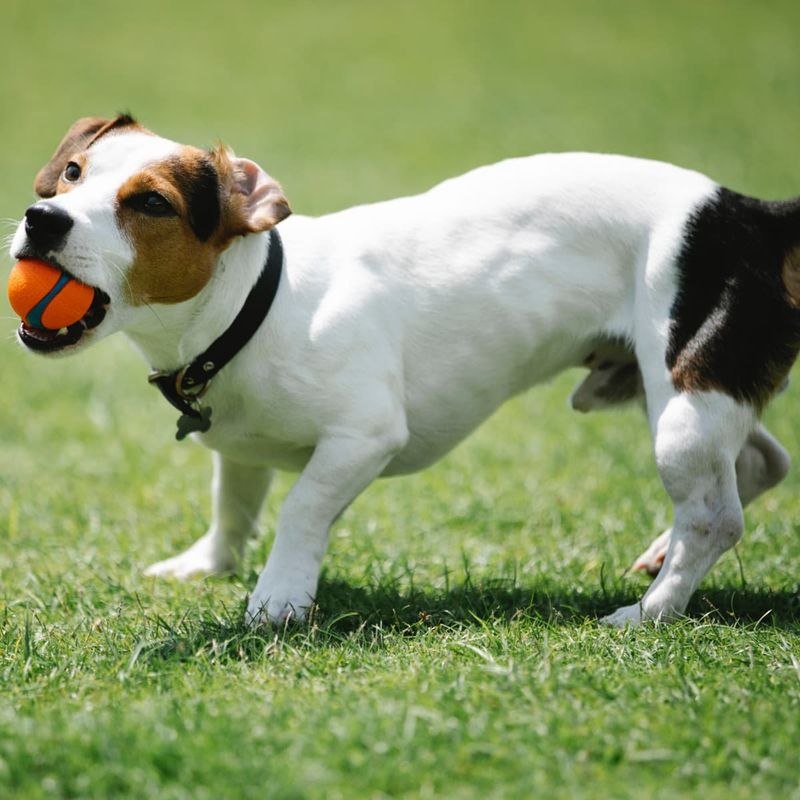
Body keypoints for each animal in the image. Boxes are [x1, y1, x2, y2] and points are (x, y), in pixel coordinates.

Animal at [7, 114, 800, 624]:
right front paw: (207, 565)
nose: (41, 219)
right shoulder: (240, 447)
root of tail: (748, 213)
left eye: (150, 202)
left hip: (683, 413)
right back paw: (663, 556)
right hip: (674, 389)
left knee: (715, 517)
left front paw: (278, 597)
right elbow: (233, 505)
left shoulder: (363, 437)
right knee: (759, 462)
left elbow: (300, 510)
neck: (255, 303)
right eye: (71, 174)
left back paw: (650, 611)